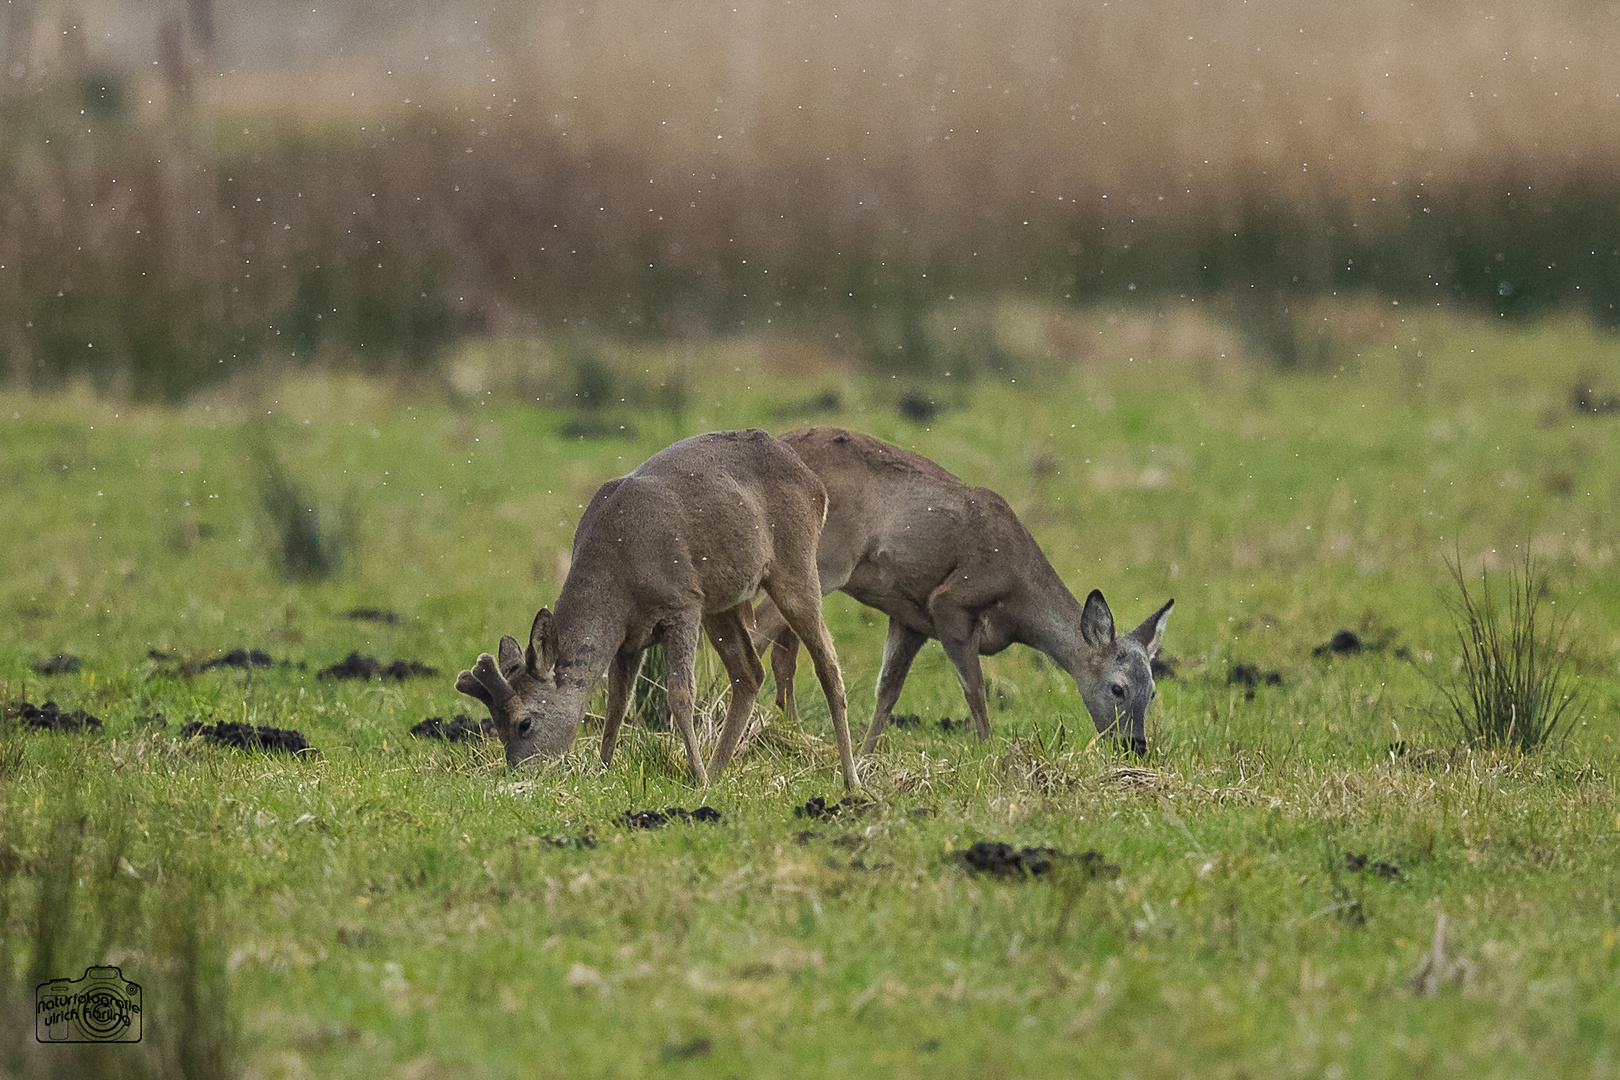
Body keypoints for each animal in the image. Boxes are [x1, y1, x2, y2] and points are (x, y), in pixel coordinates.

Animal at [456, 427, 861, 790]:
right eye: (496, 725)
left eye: (524, 723)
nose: (518, 773)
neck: (619, 578)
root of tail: (816, 486)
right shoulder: (629, 637)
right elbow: (617, 703)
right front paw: (603, 771)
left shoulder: (681, 603)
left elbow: (679, 695)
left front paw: (694, 775)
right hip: (721, 602)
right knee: (749, 673)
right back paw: (718, 774)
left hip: (795, 563)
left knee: (827, 663)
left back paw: (850, 780)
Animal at [751, 427, 1172, 757]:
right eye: (1117, 688)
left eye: (1153, 691)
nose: (1135, 745)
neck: (1019, 602)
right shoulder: (950, 602)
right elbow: (975, 691)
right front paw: (991, 753)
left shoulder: (909, 619)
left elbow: (887, 691)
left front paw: (866, 759)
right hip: (825, 560)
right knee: (759, 628)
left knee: (776, 644)